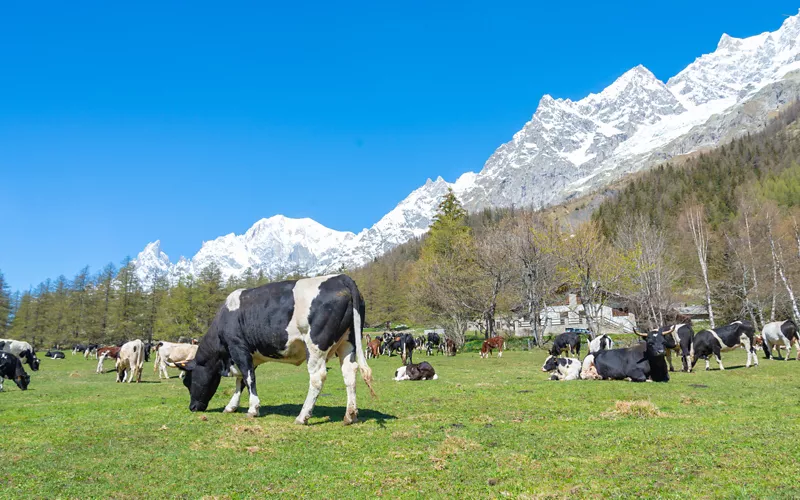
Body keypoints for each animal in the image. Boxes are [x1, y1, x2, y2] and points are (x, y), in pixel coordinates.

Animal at [173, 274, 374, 426]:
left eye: (187, 381)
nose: (192, 407)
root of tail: (340, 278)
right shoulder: (248, 355)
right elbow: (241, 381)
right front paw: (231, 406)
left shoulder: (238, 347)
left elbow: (248, 378)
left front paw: (253, 409)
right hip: (348, 342)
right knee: (349, 373)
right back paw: (350, 415)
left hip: (316, 346)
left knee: (317, 377)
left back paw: (302, 416)